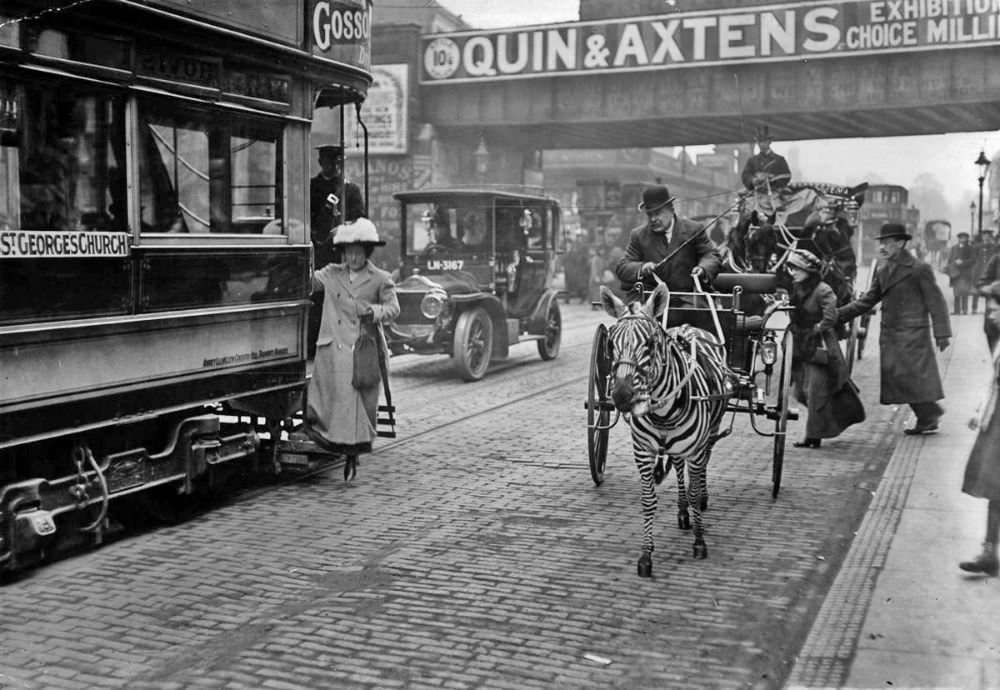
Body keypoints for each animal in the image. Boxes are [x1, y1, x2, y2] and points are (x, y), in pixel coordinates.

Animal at [596, 282, 732, 576]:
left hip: (709, 432)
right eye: (610, 343)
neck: (663, 414)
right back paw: (682, 512)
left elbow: (694, 490)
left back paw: (699, 502)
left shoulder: (695, 450)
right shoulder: (643, 452)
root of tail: (690, 326)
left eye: (649, 343)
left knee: (702, 466)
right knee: (679, 467)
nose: (621, 396)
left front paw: (699, 541)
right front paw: (646, 555)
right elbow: (648, 501)